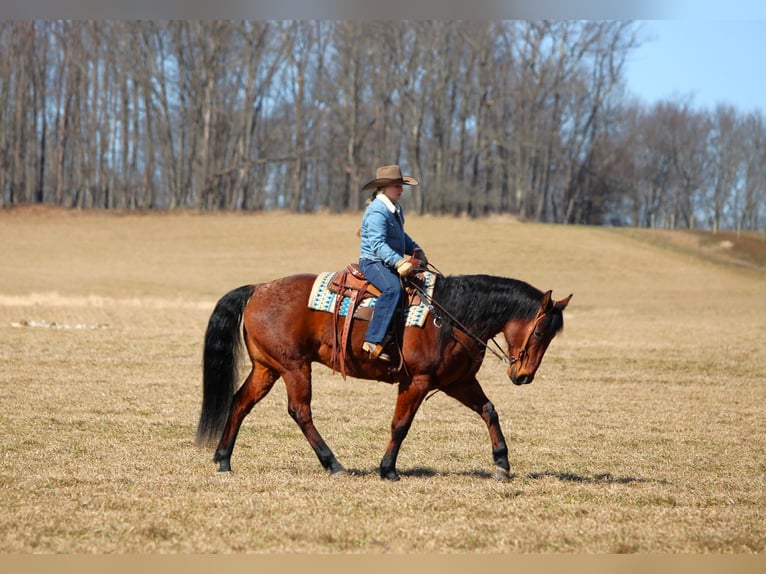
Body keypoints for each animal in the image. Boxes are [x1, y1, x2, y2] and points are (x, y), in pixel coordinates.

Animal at [195, 269, 572, 481]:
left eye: (552, 336)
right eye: (540, 331)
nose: (523, 375)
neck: (452, 317)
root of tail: (258, 288)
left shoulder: (458, 382)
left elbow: (489, 411)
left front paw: (502, 464)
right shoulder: (417, 381)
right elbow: (400, 425)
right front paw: (388, 469)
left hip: (267, 368)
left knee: (240, 402)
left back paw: (223, 459)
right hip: (293, 366)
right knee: (300, 411)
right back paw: (332, 463)